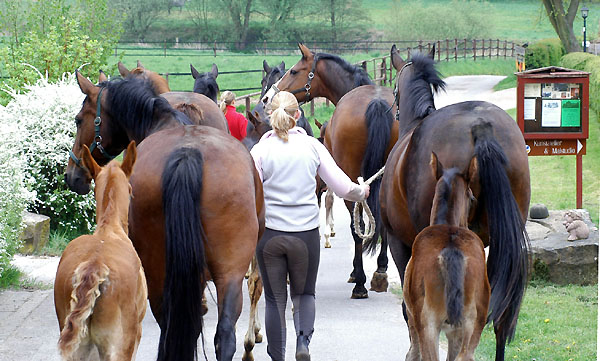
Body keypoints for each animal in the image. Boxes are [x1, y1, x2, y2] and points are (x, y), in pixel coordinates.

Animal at [266, 43, 394, 298]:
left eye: (294, 71)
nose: (268, 98)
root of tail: (375, 103)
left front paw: (356, 273)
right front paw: (380, 268)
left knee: (357, 226)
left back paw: (360, 282)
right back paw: (380, 273)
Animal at [404, 152, 492, 360]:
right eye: (472, 197)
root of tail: (452, 250)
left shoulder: (412, 316)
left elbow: (412, 354)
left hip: (427, 321)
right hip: (473, 322)